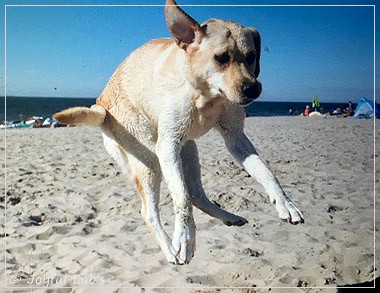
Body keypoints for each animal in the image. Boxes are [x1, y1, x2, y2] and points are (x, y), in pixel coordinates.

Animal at [53, 0, 304, 264]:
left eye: (251, 57)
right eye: (222, 58)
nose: (253, 89)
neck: (206, 95)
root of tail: (101, 107)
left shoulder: (236, 138)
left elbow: (266, 173)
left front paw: (285, 202)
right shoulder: (168, 146)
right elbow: (181, 198)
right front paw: (184, 237)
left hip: (188, 151)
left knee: (196, 194)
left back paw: (229, 217)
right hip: (150, 160)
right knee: (151, 211)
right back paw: (168, 249)